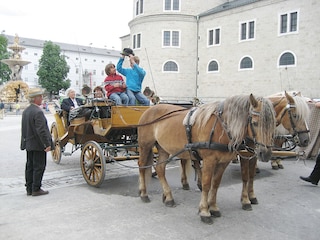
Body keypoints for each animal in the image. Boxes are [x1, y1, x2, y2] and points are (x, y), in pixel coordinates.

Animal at [138, 93, 276, 223]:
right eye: (255, 123)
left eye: (273, 124)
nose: (265, 153)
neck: (221, 127)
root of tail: (150, 110)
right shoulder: (210, 160)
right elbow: (206, 184)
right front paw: (205, 211)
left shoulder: (223, 162)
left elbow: (216, 184)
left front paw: (213, 207)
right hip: (145, 146)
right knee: (142, 166)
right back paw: (144, 193)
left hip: (163, 149)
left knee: (160, 169)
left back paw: (168, 197)